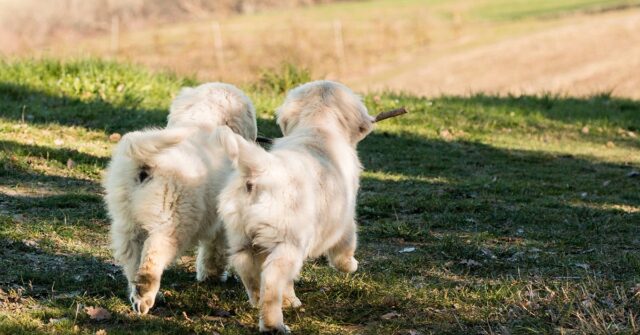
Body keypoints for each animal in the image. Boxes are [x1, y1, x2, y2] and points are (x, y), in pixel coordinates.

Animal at [104, 82, 256, 316]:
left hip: (126, 222)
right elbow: (216, 249)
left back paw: (138, 294)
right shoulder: (220, 222)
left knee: (132, 260)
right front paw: (212, 276)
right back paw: (145, 297)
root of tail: (145, 162)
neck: (203, 122)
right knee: (152, 258)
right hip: (172, 223)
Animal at [216, 80, 376, 332]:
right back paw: (273, 324)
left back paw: (258, 300)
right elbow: (345, 246)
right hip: (288, 242)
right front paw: (350, 265)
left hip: (241, 236)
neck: (317, 128)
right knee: (272, 280)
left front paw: (291, 299)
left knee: (247, 269)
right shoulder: (344, 218)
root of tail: (260, 169)